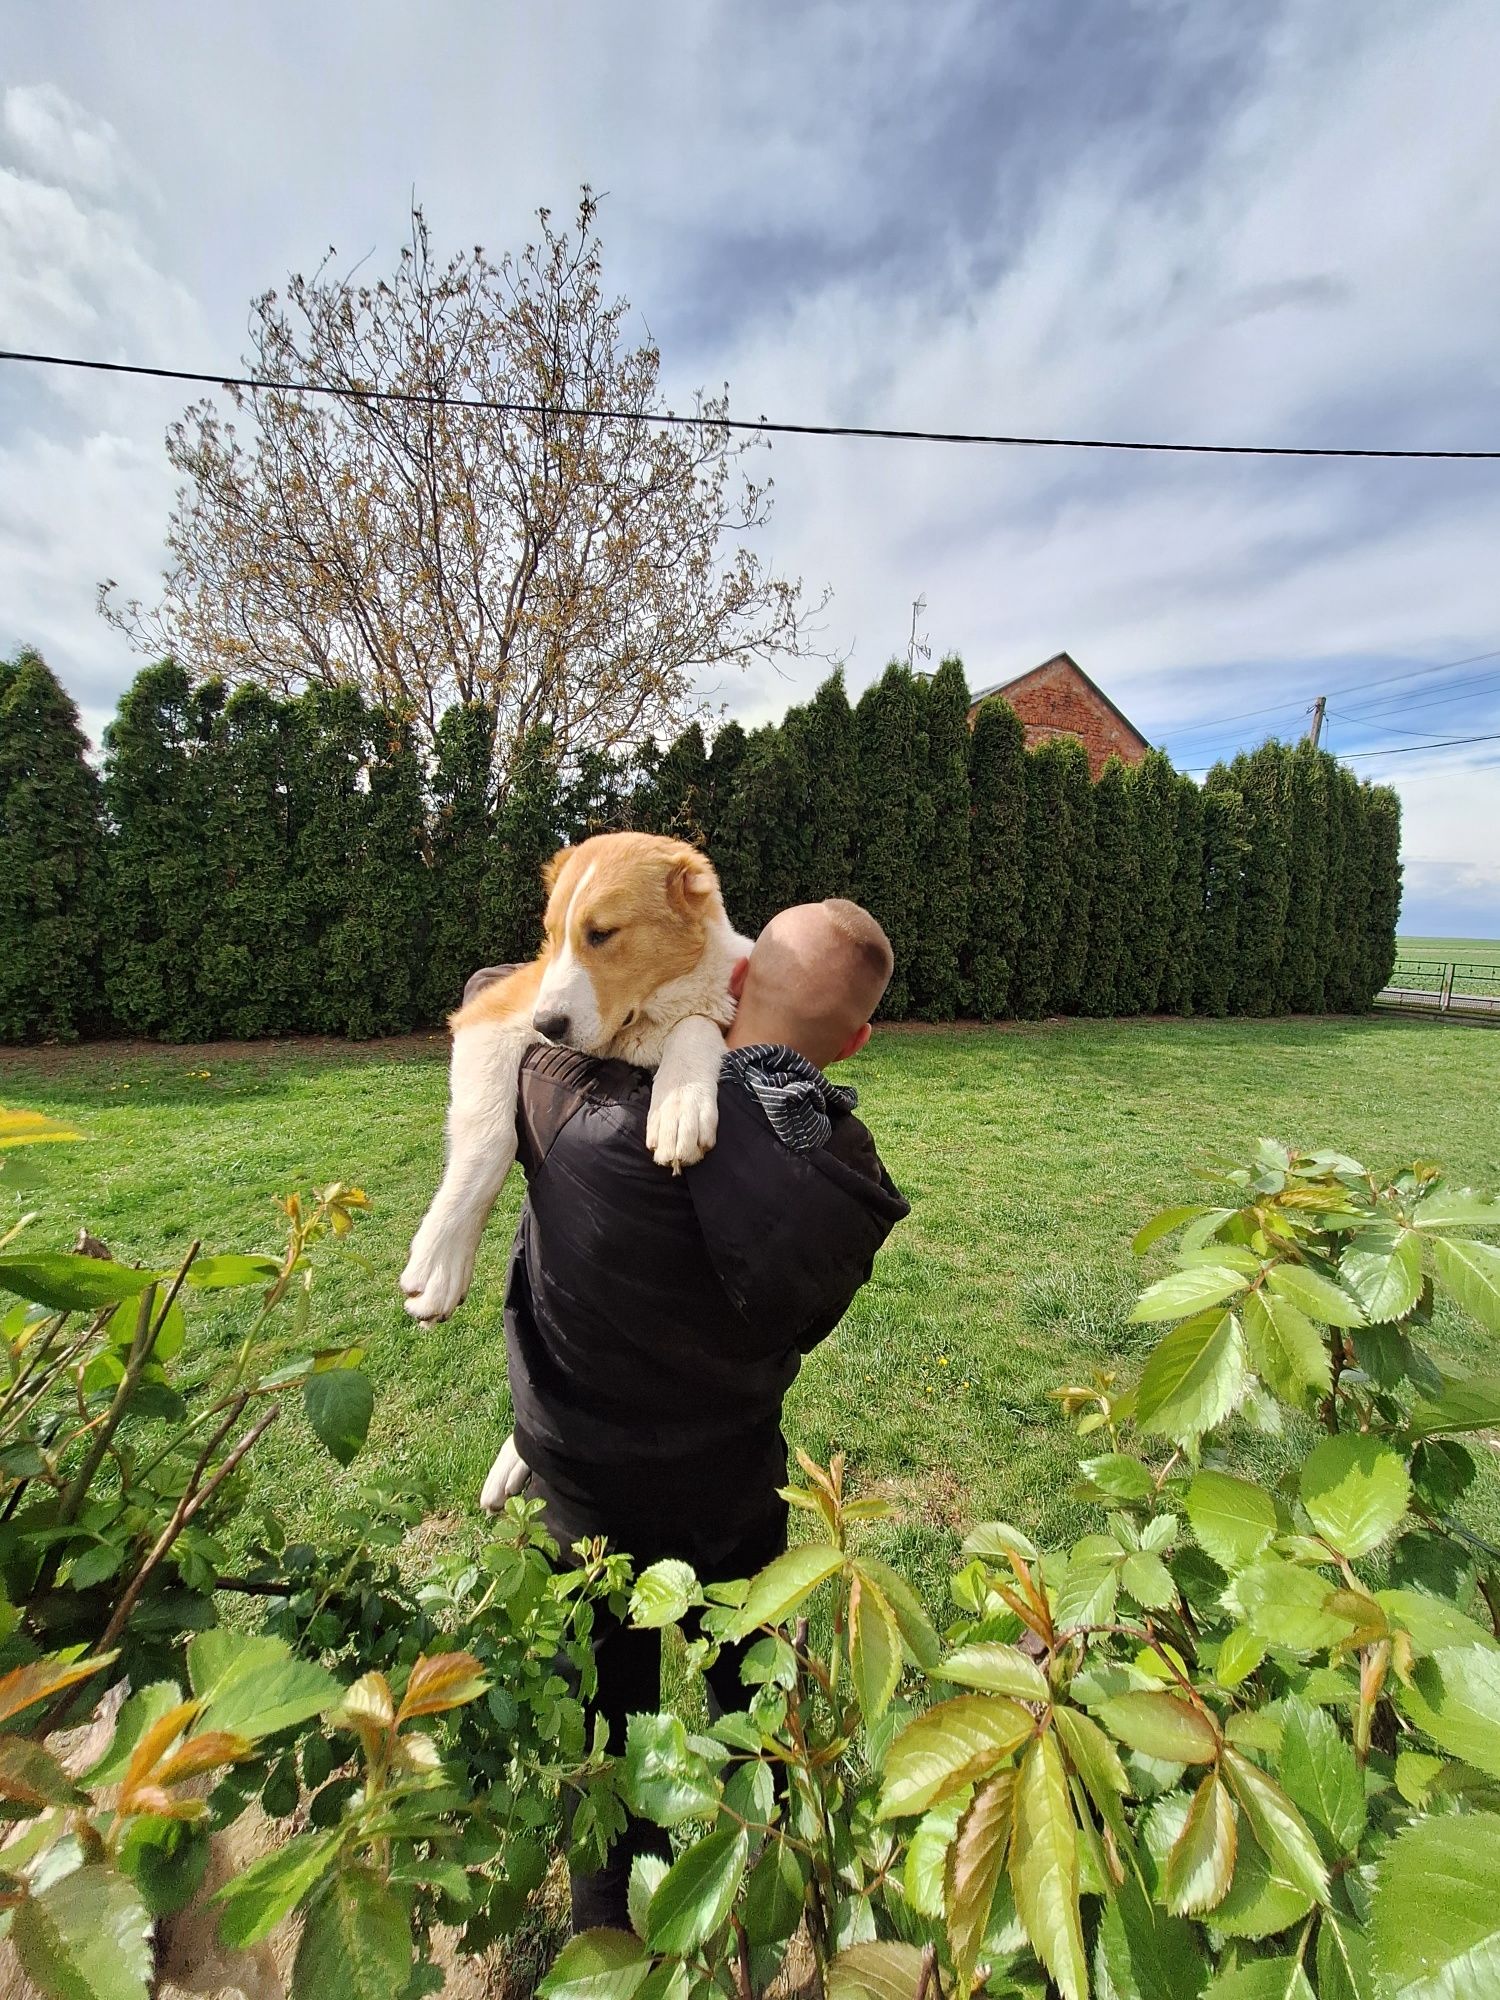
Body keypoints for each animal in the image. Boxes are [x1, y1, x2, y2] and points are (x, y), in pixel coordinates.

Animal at [402, 828, 748, 1328]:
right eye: (552, 936)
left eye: (601, 934)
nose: (547, 1026)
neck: (641, 1018)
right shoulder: (489, 1018)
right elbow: (489, 1137)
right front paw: (439, 1264)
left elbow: (695, 1025)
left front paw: (679, 1108)